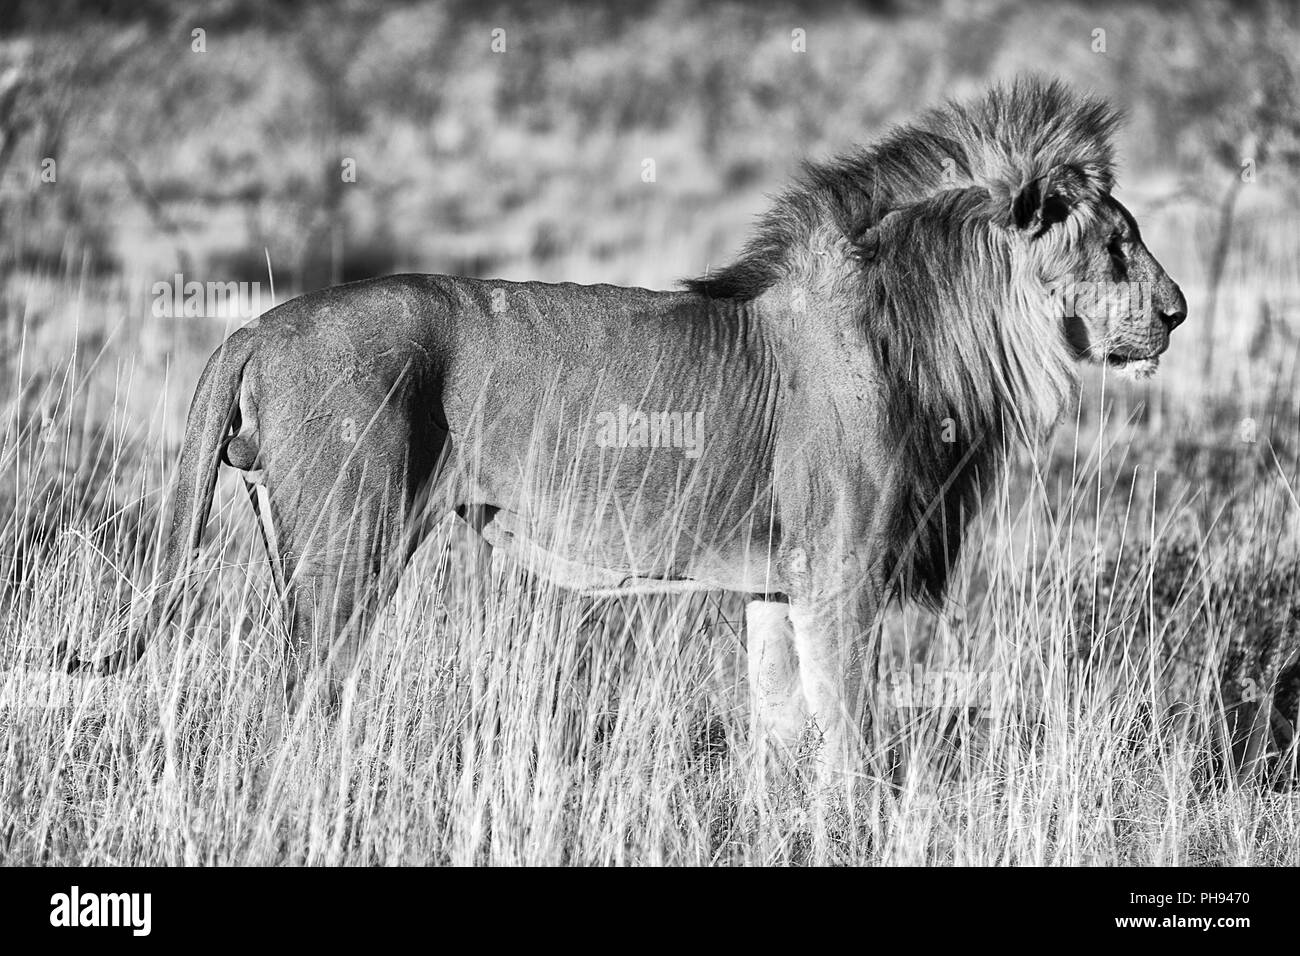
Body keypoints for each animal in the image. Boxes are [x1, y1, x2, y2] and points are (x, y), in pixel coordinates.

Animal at [59, 77, 1185, 780]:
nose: (1177, 312)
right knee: (298, 699)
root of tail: (256, 322)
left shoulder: (776, 583)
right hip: (347, 548)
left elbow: (782, 732)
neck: (930, 328)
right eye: (1118, 244)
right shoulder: (841, 571)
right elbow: (850, 742)